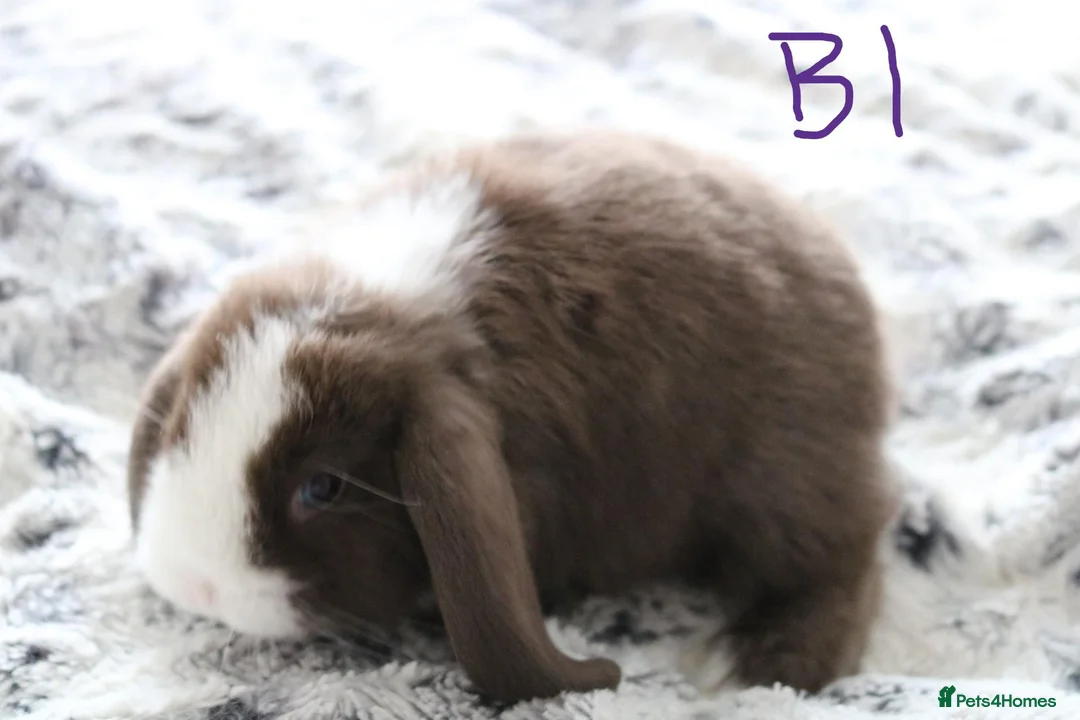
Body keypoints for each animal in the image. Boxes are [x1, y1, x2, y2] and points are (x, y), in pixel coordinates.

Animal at [126, 129, 897, 704]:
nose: (196, 585)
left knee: (843, 563)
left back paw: (743, 666)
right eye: (181, 429)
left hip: (779, 479)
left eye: (323, 488)